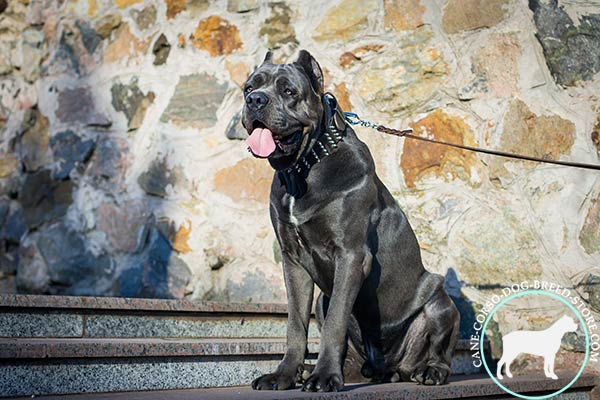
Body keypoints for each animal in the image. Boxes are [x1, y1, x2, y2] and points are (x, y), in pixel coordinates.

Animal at [243, 49, 460, 390]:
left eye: (288, 91)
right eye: (249, 87)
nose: (255, 100)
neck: (305, 167)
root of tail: (392, 365)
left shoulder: (351, 256)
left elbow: (336, 323)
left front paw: (324, 377)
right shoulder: (293, 262)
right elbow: (295, 325)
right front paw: (285, 375)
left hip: (440, 301)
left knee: (440, 347)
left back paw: (431, 370)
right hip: (323, 300)